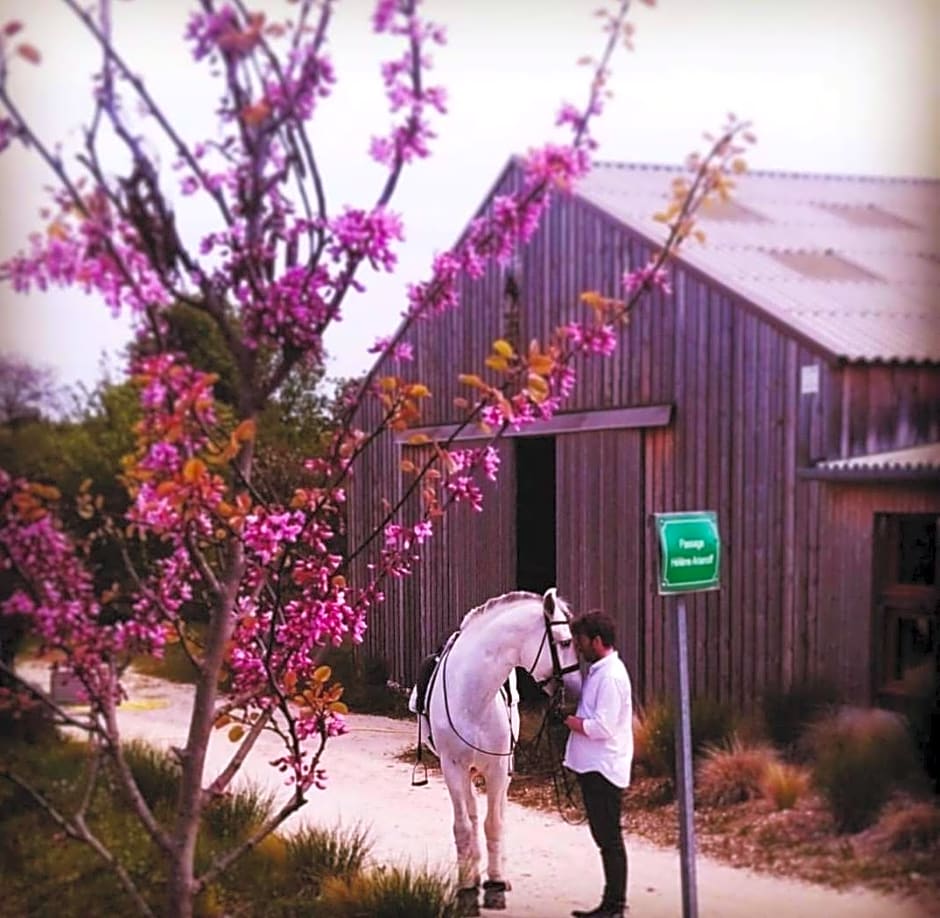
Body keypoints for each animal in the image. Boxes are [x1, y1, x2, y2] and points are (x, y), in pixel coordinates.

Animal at [412, 592, 580, 916]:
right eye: (565, 642)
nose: (577, 694)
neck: (472, 696)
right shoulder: (452, 768)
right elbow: (464, 826)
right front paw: (467, 888)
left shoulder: (499, 769)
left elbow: (495, 823)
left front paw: (496, 885)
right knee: (472, 815)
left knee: (497, 813)